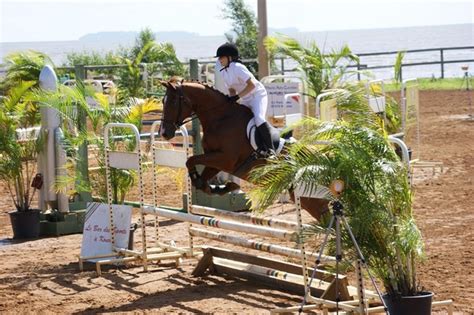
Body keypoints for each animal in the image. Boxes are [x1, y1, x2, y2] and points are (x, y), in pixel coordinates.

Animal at [159, 78, 330, 221]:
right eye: (163, 101)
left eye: (173, 101)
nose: (164, 133)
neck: (220, 119)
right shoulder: (216, 161)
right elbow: (197, 172)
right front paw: (221, 187)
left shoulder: (225, 159)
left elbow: (191, 160)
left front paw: (208, 182)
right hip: (301, 196)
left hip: (308, 196)